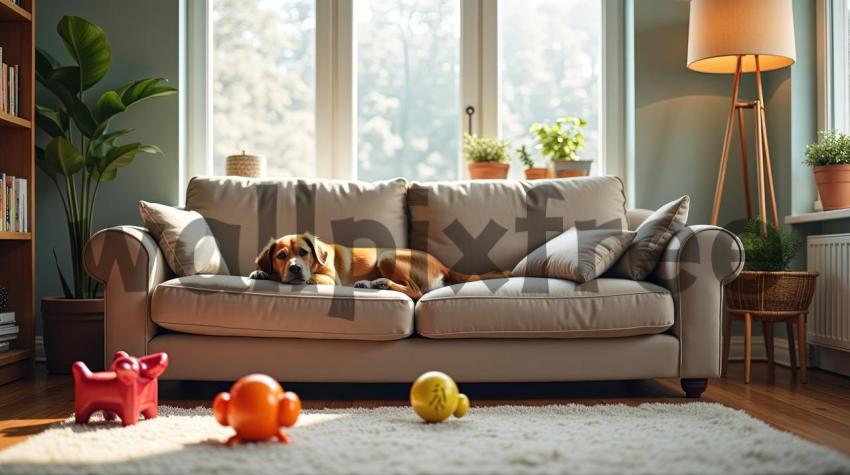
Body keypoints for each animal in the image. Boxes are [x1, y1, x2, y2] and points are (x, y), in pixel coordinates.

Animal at [248, 233, 506, 300]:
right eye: (281, 256)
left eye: (303, 252)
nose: (295, 269)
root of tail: (443, 265)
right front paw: (260, 271)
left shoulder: (328, 279)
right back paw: (370, 283)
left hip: (388, 257)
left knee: (414, 291)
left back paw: (380, 282)